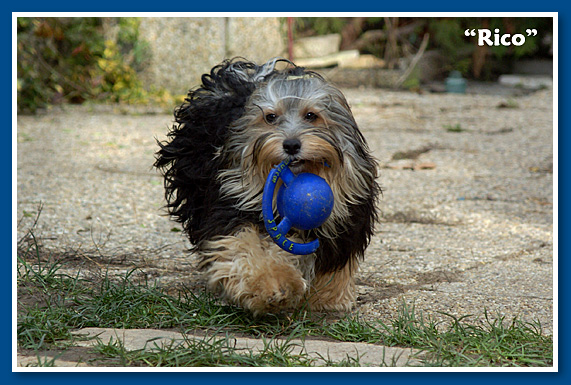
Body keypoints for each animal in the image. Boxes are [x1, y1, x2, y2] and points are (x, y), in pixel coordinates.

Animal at [154, 57, 382, 316]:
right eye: (270, 117)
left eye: (311, 115)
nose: (291, 145)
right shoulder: (235, 204)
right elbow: (246, 246)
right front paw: (272, 287)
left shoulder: (347, 218)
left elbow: (335, 260)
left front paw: (329, 299)